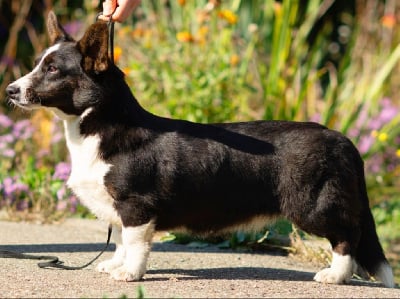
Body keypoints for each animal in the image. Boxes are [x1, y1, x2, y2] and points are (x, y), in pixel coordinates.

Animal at [4, 11, 396, 288]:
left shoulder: (136, 205)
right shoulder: (119, 208)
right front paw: (114, 264)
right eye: (39, 64)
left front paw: (129, 274)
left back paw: (335, 275)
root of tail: (342, 139)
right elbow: (119, 242)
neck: (97, 126)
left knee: (347, 235)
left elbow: (135, 244)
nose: (9, 90)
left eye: (53, 69)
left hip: (313, 206)